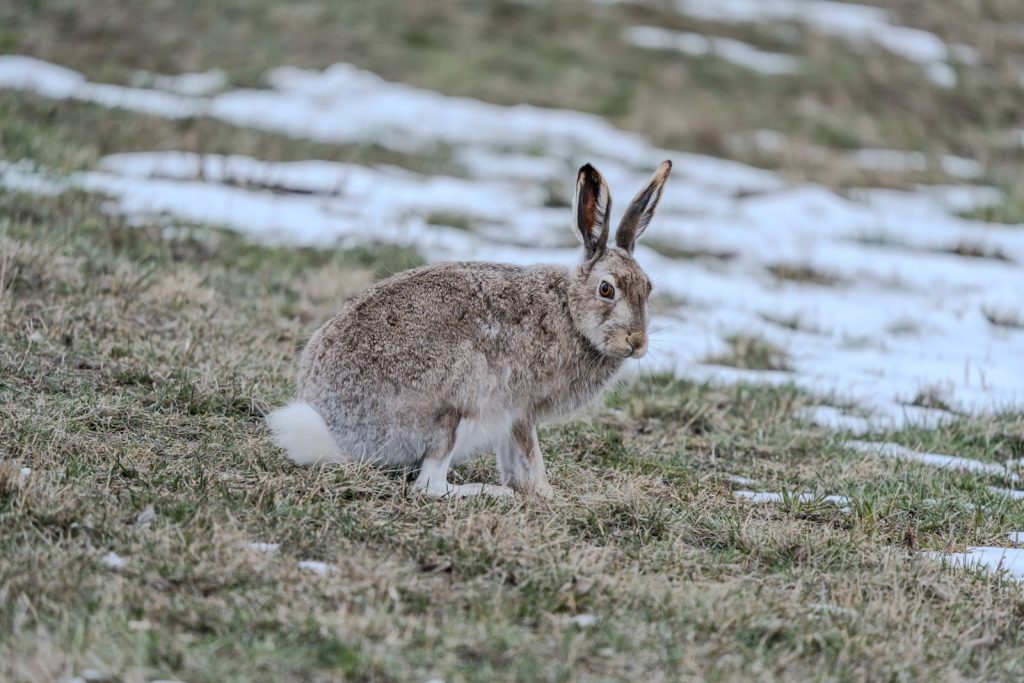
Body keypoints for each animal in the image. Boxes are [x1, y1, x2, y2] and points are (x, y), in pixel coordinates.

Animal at [266, 160, 672, 497]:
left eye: (648, 288)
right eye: (606, 290)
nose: (636, 342)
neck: (570, 313)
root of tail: (337, 431)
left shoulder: (510, 417)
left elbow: (513, 456)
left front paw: (529, 488)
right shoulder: (519, 405)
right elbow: (530, 452)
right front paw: (544, 493)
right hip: (457, 401)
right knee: (429, 486)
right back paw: (489, 492)